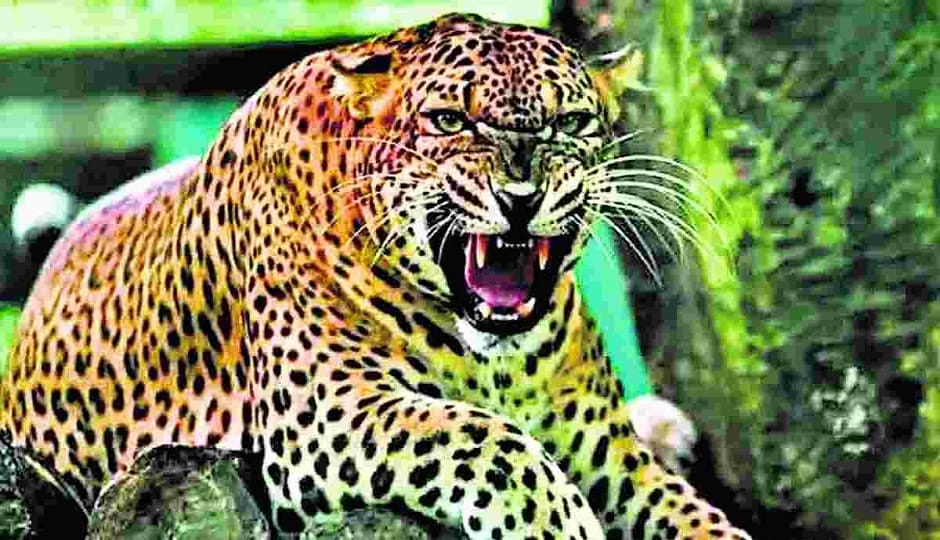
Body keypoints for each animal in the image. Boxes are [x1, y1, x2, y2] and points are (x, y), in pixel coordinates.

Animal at [0, 13, 752, 540]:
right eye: (448, 120)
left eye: (570, 122)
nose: (520, 195)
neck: (499, 363)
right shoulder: (326, 415)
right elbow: (490, 440)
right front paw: (563, 526)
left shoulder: (616, 462)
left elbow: (700, 519)